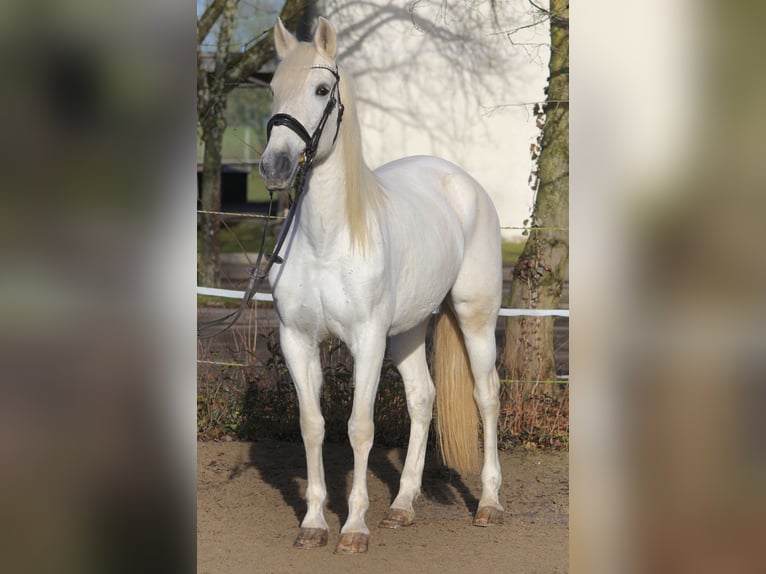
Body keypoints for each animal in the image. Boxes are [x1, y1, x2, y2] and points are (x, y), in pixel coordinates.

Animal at [260, 19, 508, 560]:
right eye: (271, 89)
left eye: (322, 89)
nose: (275, 167)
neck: (328, 238)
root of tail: (463, 182)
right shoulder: (297, 340)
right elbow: (313, 425)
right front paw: (314, 523)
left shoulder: (367, 342)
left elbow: (359, 428)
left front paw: (354, 528)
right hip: (409, 332)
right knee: (422, 398)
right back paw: (403, 505)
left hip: (474, 318)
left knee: (486, 396)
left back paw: (489, 504)